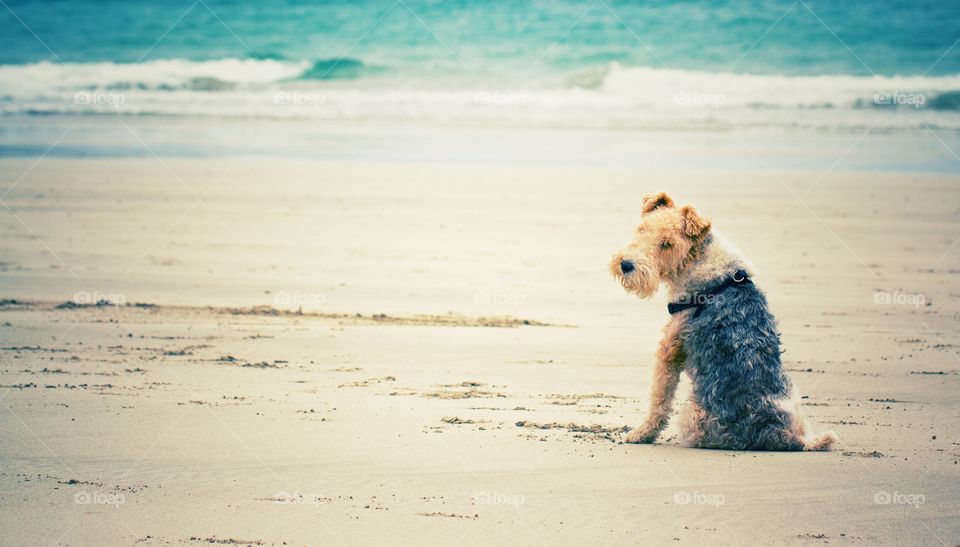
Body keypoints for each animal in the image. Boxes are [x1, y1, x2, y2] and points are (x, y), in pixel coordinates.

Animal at [612, 192, 836, 450]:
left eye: (667, 243)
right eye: (642, 229)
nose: (626, 265)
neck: (698, 262)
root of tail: (781, 435)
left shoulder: (669, 349)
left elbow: (659, 400)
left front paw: (640, 434)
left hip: (693, 416)